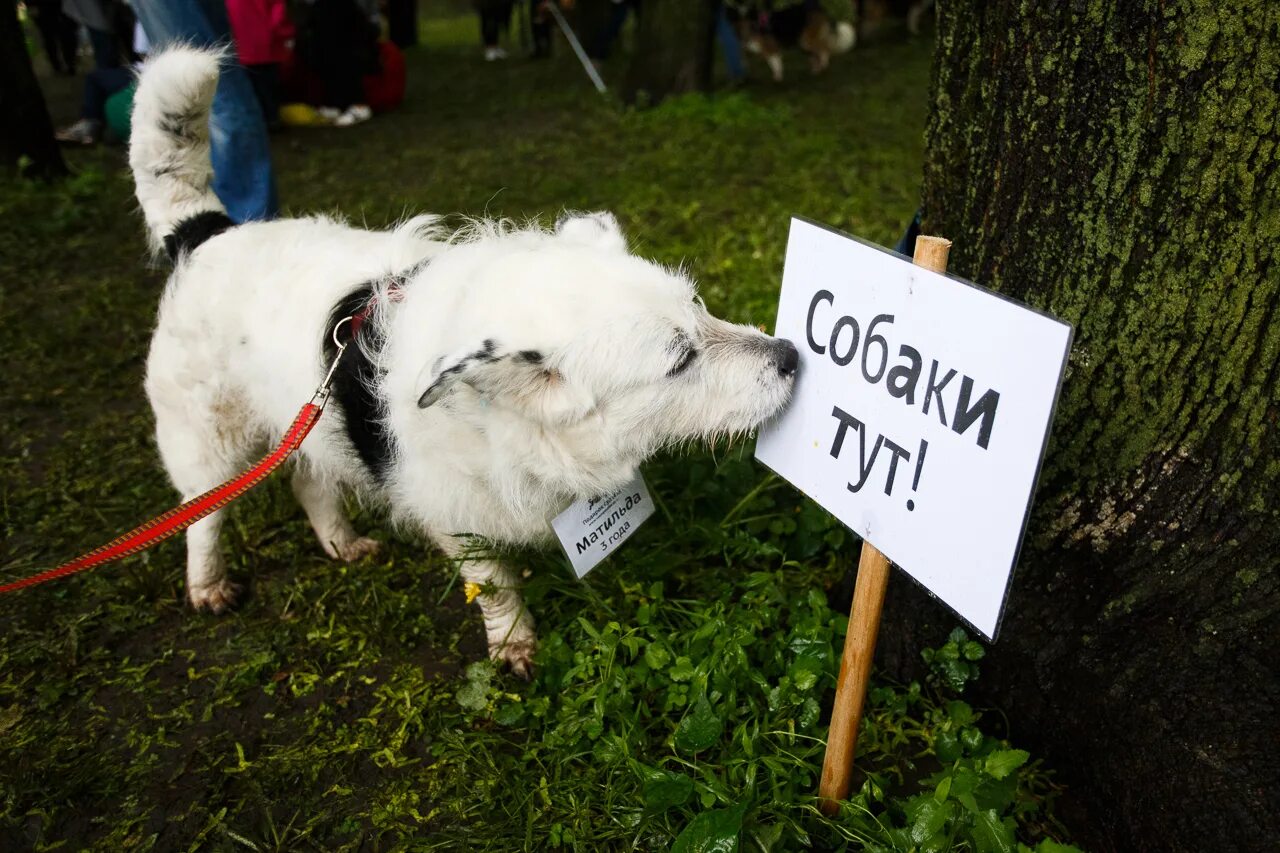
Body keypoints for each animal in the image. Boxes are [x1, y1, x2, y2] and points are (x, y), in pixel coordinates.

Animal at [127, 49, 798, 676]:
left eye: (699, 305)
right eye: (680, 359)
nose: (791, 356)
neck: (507, 424)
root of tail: (205, 232)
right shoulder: (456, 518)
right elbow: (495, 587)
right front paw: (513, 644)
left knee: (307, 479)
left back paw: (341, 543)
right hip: (206, 441)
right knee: (201, 515)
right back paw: (208, 584)